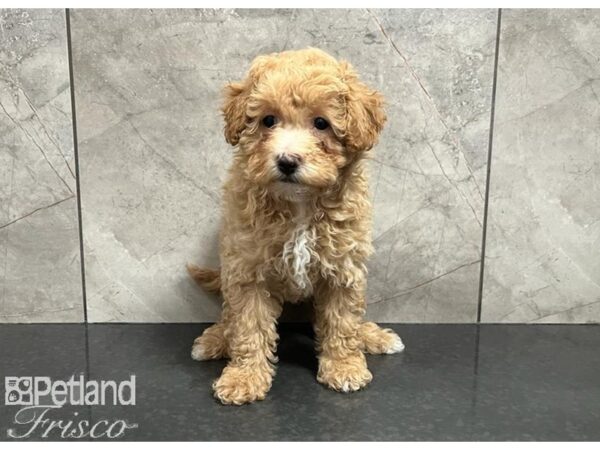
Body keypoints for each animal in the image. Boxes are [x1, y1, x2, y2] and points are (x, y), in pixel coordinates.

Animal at [188, 47, 404, 406]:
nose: (287, 161)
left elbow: (343, 322)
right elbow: (247, 328)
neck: (300, 203)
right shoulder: (248, 271)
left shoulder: (343, 269)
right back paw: (216, 339)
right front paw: (244, 378)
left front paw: (344, 367)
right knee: (230, 318)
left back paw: (371, 336)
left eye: (321, 124)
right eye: (268, 120)